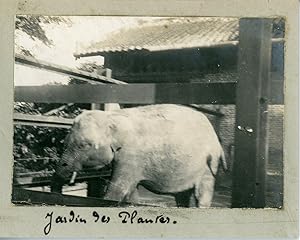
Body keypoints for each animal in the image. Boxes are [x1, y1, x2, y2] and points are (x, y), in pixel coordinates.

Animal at [52, 104, 226, 207]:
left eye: (83, 145)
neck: (113, 116)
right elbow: (130, 191)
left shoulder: (131, 154)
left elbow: (118, 189)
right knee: (182, 195)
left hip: (208, 166)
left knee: (202, 194)